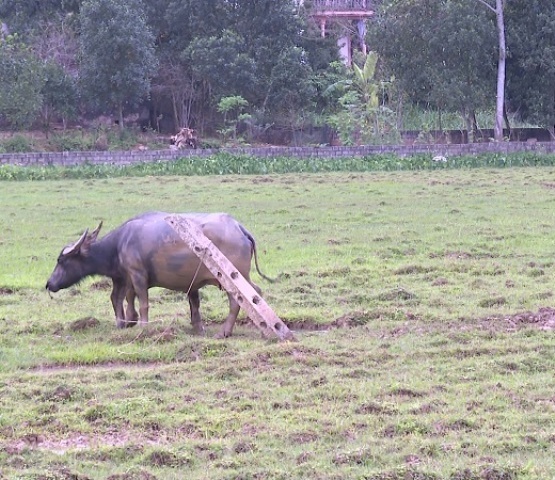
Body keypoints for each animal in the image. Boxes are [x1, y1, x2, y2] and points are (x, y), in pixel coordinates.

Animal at [46, 212, 272, 340]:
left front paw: (142, 326)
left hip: (233, 278)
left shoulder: (137, 275)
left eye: (61, 260)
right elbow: (123, 297)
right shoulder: (125, 278)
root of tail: (239, 228)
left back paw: (225, 332)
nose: (49, 284)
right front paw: (127, 321)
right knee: (255, 294)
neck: (119, 245)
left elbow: (142, 302)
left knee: (240, 300)